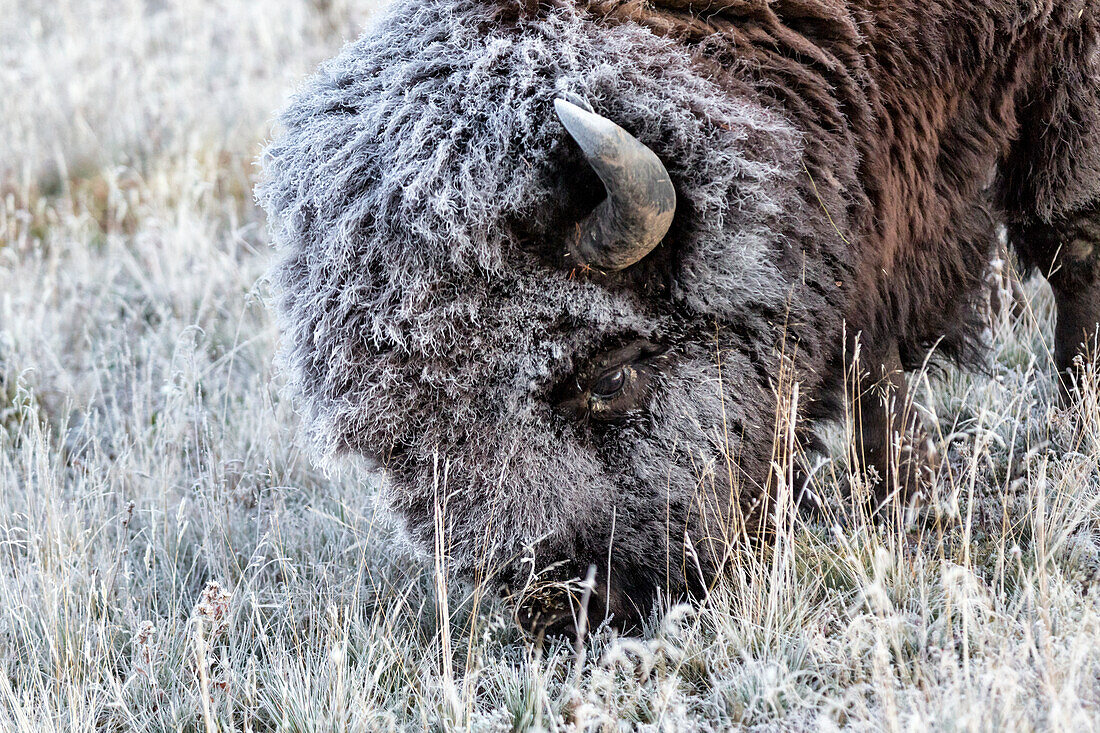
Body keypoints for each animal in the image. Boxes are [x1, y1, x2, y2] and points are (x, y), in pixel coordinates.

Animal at [257, 0, 1100, 629]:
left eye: (609, 374)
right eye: (395, 447)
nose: (572, 606)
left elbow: (1074, 249)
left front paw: (1079, 436)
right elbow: (869, 350)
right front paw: (903, 491)